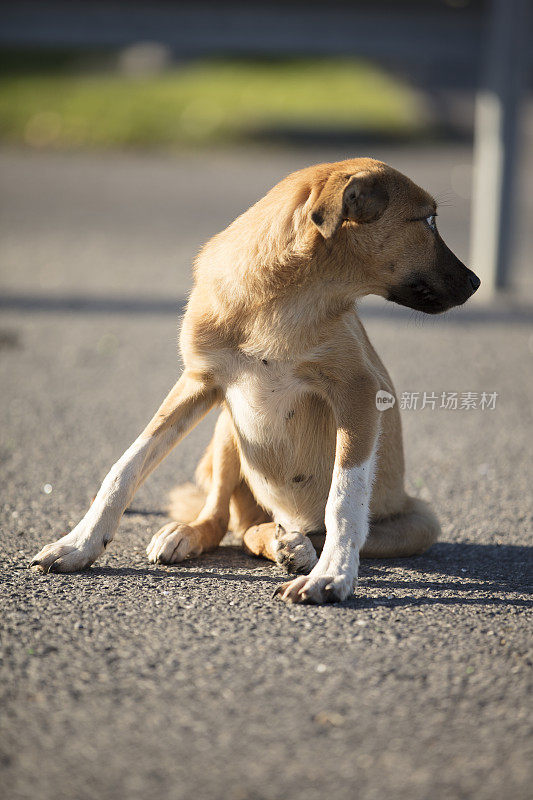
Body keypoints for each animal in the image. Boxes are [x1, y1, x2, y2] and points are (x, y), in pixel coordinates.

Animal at [30, 158, 478, 608]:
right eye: (429, 220)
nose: (476, 282)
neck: (278, 300)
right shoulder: (198, 382)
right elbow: (127, 464)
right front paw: (80, 543)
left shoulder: (359, 391)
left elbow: (343, 499)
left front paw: (331, 575)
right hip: (226, 427)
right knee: (223, 520)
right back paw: (211, 535)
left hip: (420, 520)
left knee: (294, 528)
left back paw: (295, 546)